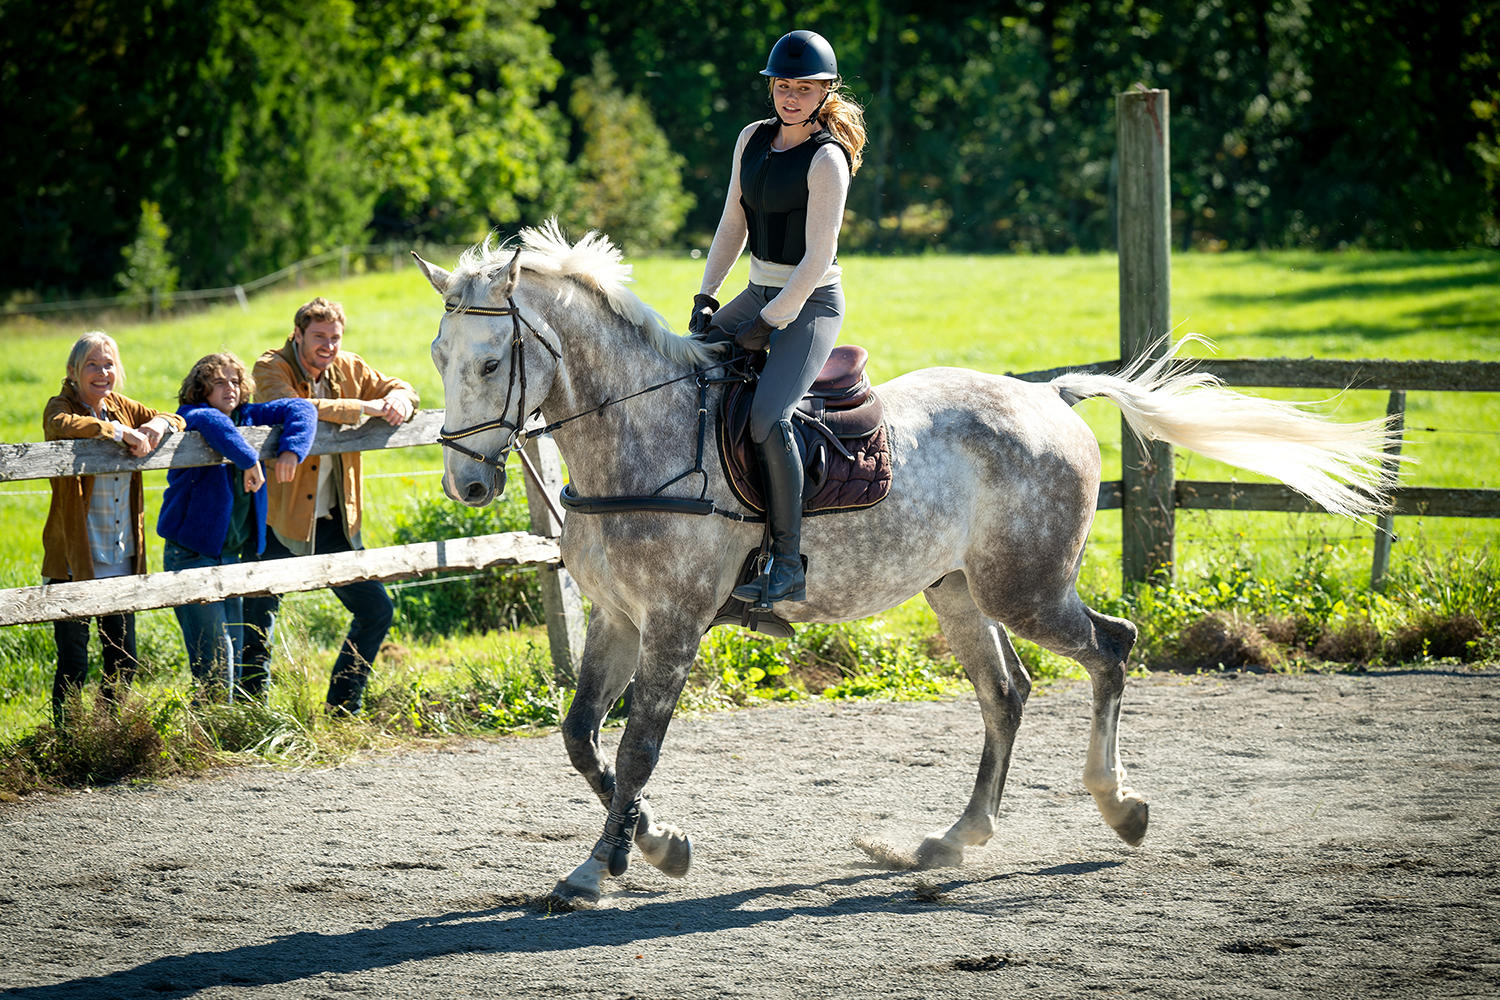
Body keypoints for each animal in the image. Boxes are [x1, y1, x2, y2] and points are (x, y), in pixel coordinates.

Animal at [414, 221, 1394, 908]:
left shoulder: (676, 625)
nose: (468, 483)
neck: (641, 433)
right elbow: (582, 737)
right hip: (957, 592)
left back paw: (1119, 806)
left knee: (1111, 648)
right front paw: (639, 848)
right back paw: (948, 842)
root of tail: (1052, 396)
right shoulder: (619, 620)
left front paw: (623, 859)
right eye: (438, 355)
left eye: (492, 361)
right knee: (1007, 694)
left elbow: (638, 746)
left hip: (1026, 589)